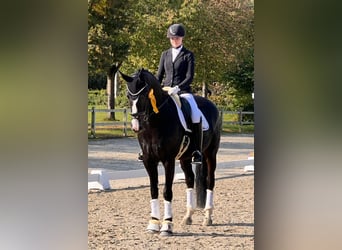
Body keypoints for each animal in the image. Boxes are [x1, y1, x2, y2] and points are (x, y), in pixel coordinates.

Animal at [120, 67, 222, 235]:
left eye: (143, 94)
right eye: (129, 96)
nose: (136, 126)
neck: (156, 122)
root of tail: (211, 104)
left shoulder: (168, 160)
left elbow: (167, 191)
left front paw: (167, 225)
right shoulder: (149, 160)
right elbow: (153, 190)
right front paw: (153, 224)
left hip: (210, 154)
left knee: (210, 181)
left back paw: (207, 217)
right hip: (185, 158)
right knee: (190, 180)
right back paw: (188, 216)